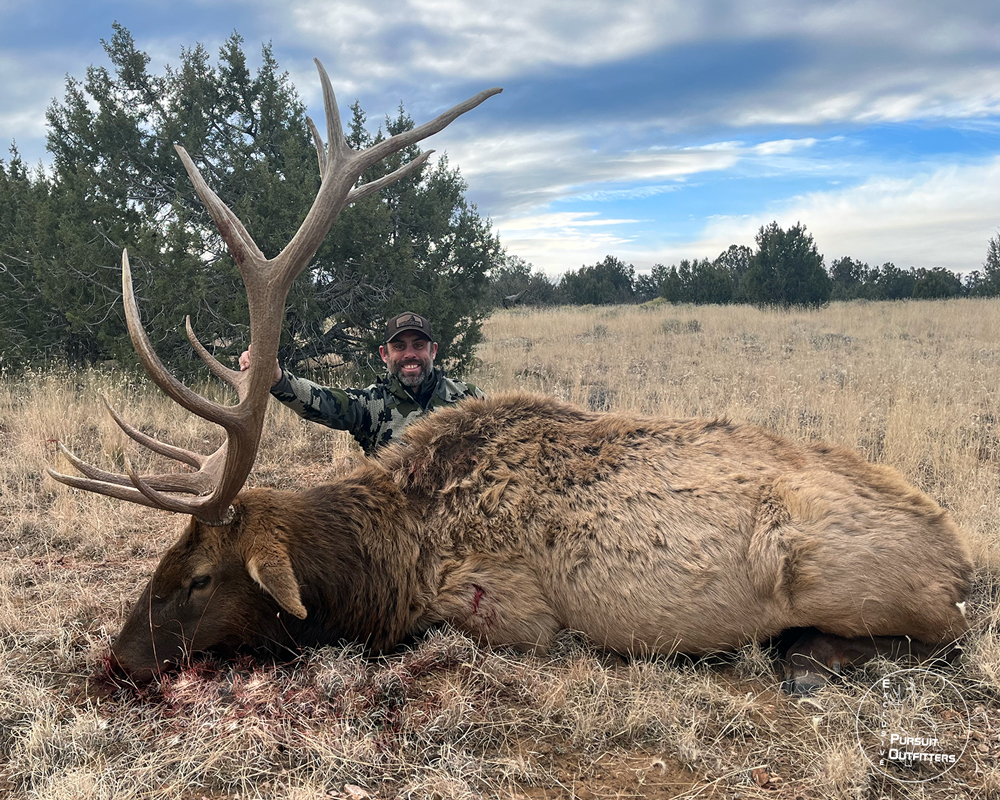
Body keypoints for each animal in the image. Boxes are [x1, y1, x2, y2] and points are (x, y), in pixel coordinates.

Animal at [45, 61, 968, 692]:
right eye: (162, 558)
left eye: (200, 577)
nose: (113, 659)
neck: (389, 557)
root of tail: (960, 560)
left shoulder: (508, 612)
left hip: (844, 576)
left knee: (938, 635)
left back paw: (803, 656)